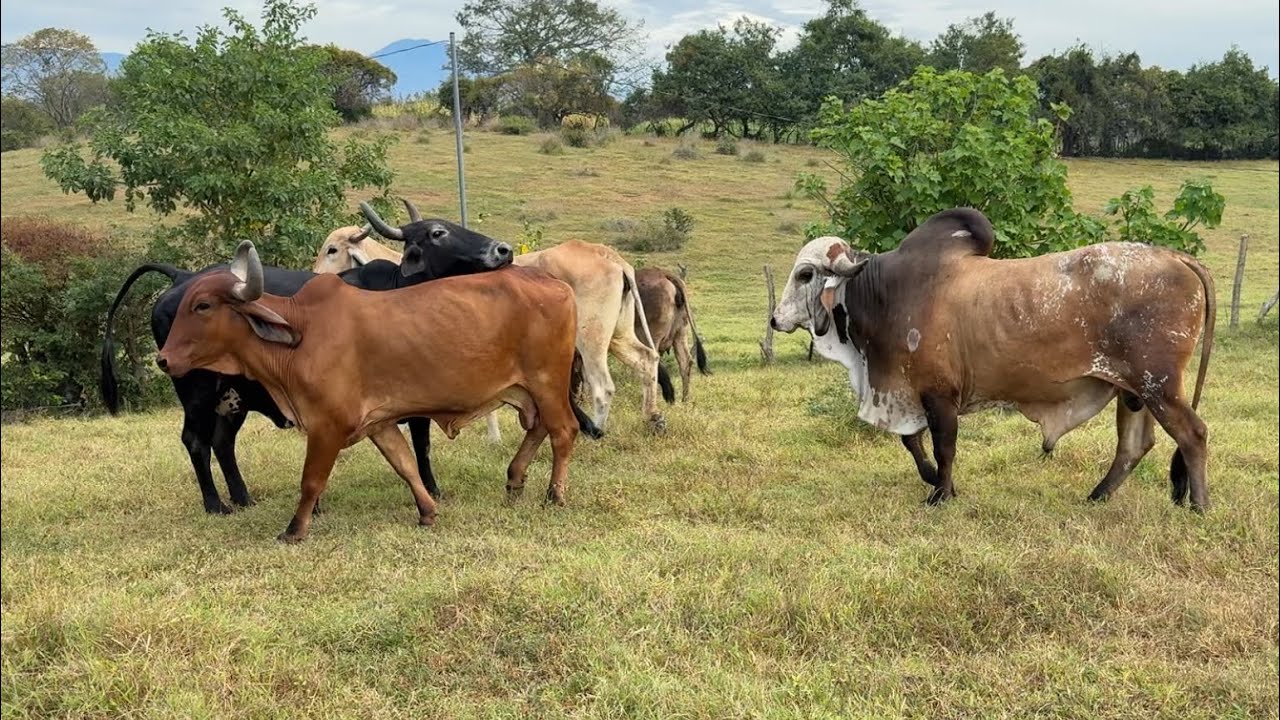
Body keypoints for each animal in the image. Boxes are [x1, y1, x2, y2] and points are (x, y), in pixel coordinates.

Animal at [101, 207, 541, 514]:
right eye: (438, 232)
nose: (502, 250)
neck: (395, 289)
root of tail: (179, 279)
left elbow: (422, 444)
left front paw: (431, 489)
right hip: (196, 391)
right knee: (196, 441)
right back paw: (215, 505)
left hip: (233, 398)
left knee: (223, 442)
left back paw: (243, 499)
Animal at [156, 240, 582, 542]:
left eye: (203, 305)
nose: (163, 360)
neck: (302, 331)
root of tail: (554, 283)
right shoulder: (380, 422)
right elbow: (405, 464)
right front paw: (427, 511)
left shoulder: (327, 426)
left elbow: (311, 481)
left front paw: (294, 530)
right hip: (528, 389)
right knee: (538, 428)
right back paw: (514, 480)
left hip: (548, 382)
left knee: (563, 431)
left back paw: (555, 495)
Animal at [358, 206, 667, 433]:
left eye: (439, 231)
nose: (502, 250)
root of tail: (611, 257)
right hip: (618, 335)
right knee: (646, 359)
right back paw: (653, 417)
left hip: (590, 337)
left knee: (603, 386)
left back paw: (598, 429)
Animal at [769, 208, 1216, 510]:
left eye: (805, 275)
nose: (775, 319)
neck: (886, 294)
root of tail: (1176, 256)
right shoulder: (912, 392)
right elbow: (912, 441)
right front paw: (935, 481)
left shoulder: (938, 395)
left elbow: (943, 447)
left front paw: (941, 493)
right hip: (1132, 391)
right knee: (1134, 446)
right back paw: (1097, 496)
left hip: (1158, 384)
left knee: (1192, 434)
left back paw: (1198, 507)